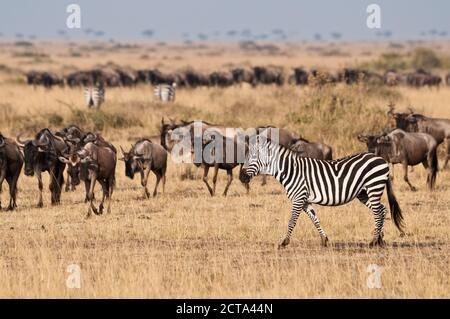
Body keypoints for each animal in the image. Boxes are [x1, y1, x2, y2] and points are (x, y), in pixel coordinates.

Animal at [241, 136, 406, 249]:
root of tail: (381, 159)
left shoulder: (298, 198)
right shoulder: (305, 200)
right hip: (364, 193)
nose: (241, 177)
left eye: (252, 157)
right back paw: (380, 240)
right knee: (382, 210)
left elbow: (292, 221)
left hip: (373, 186)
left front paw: (284, 242)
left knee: (378, 212)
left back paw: (373, 241)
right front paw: (324, 240)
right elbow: (315, 219)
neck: (290, 170)